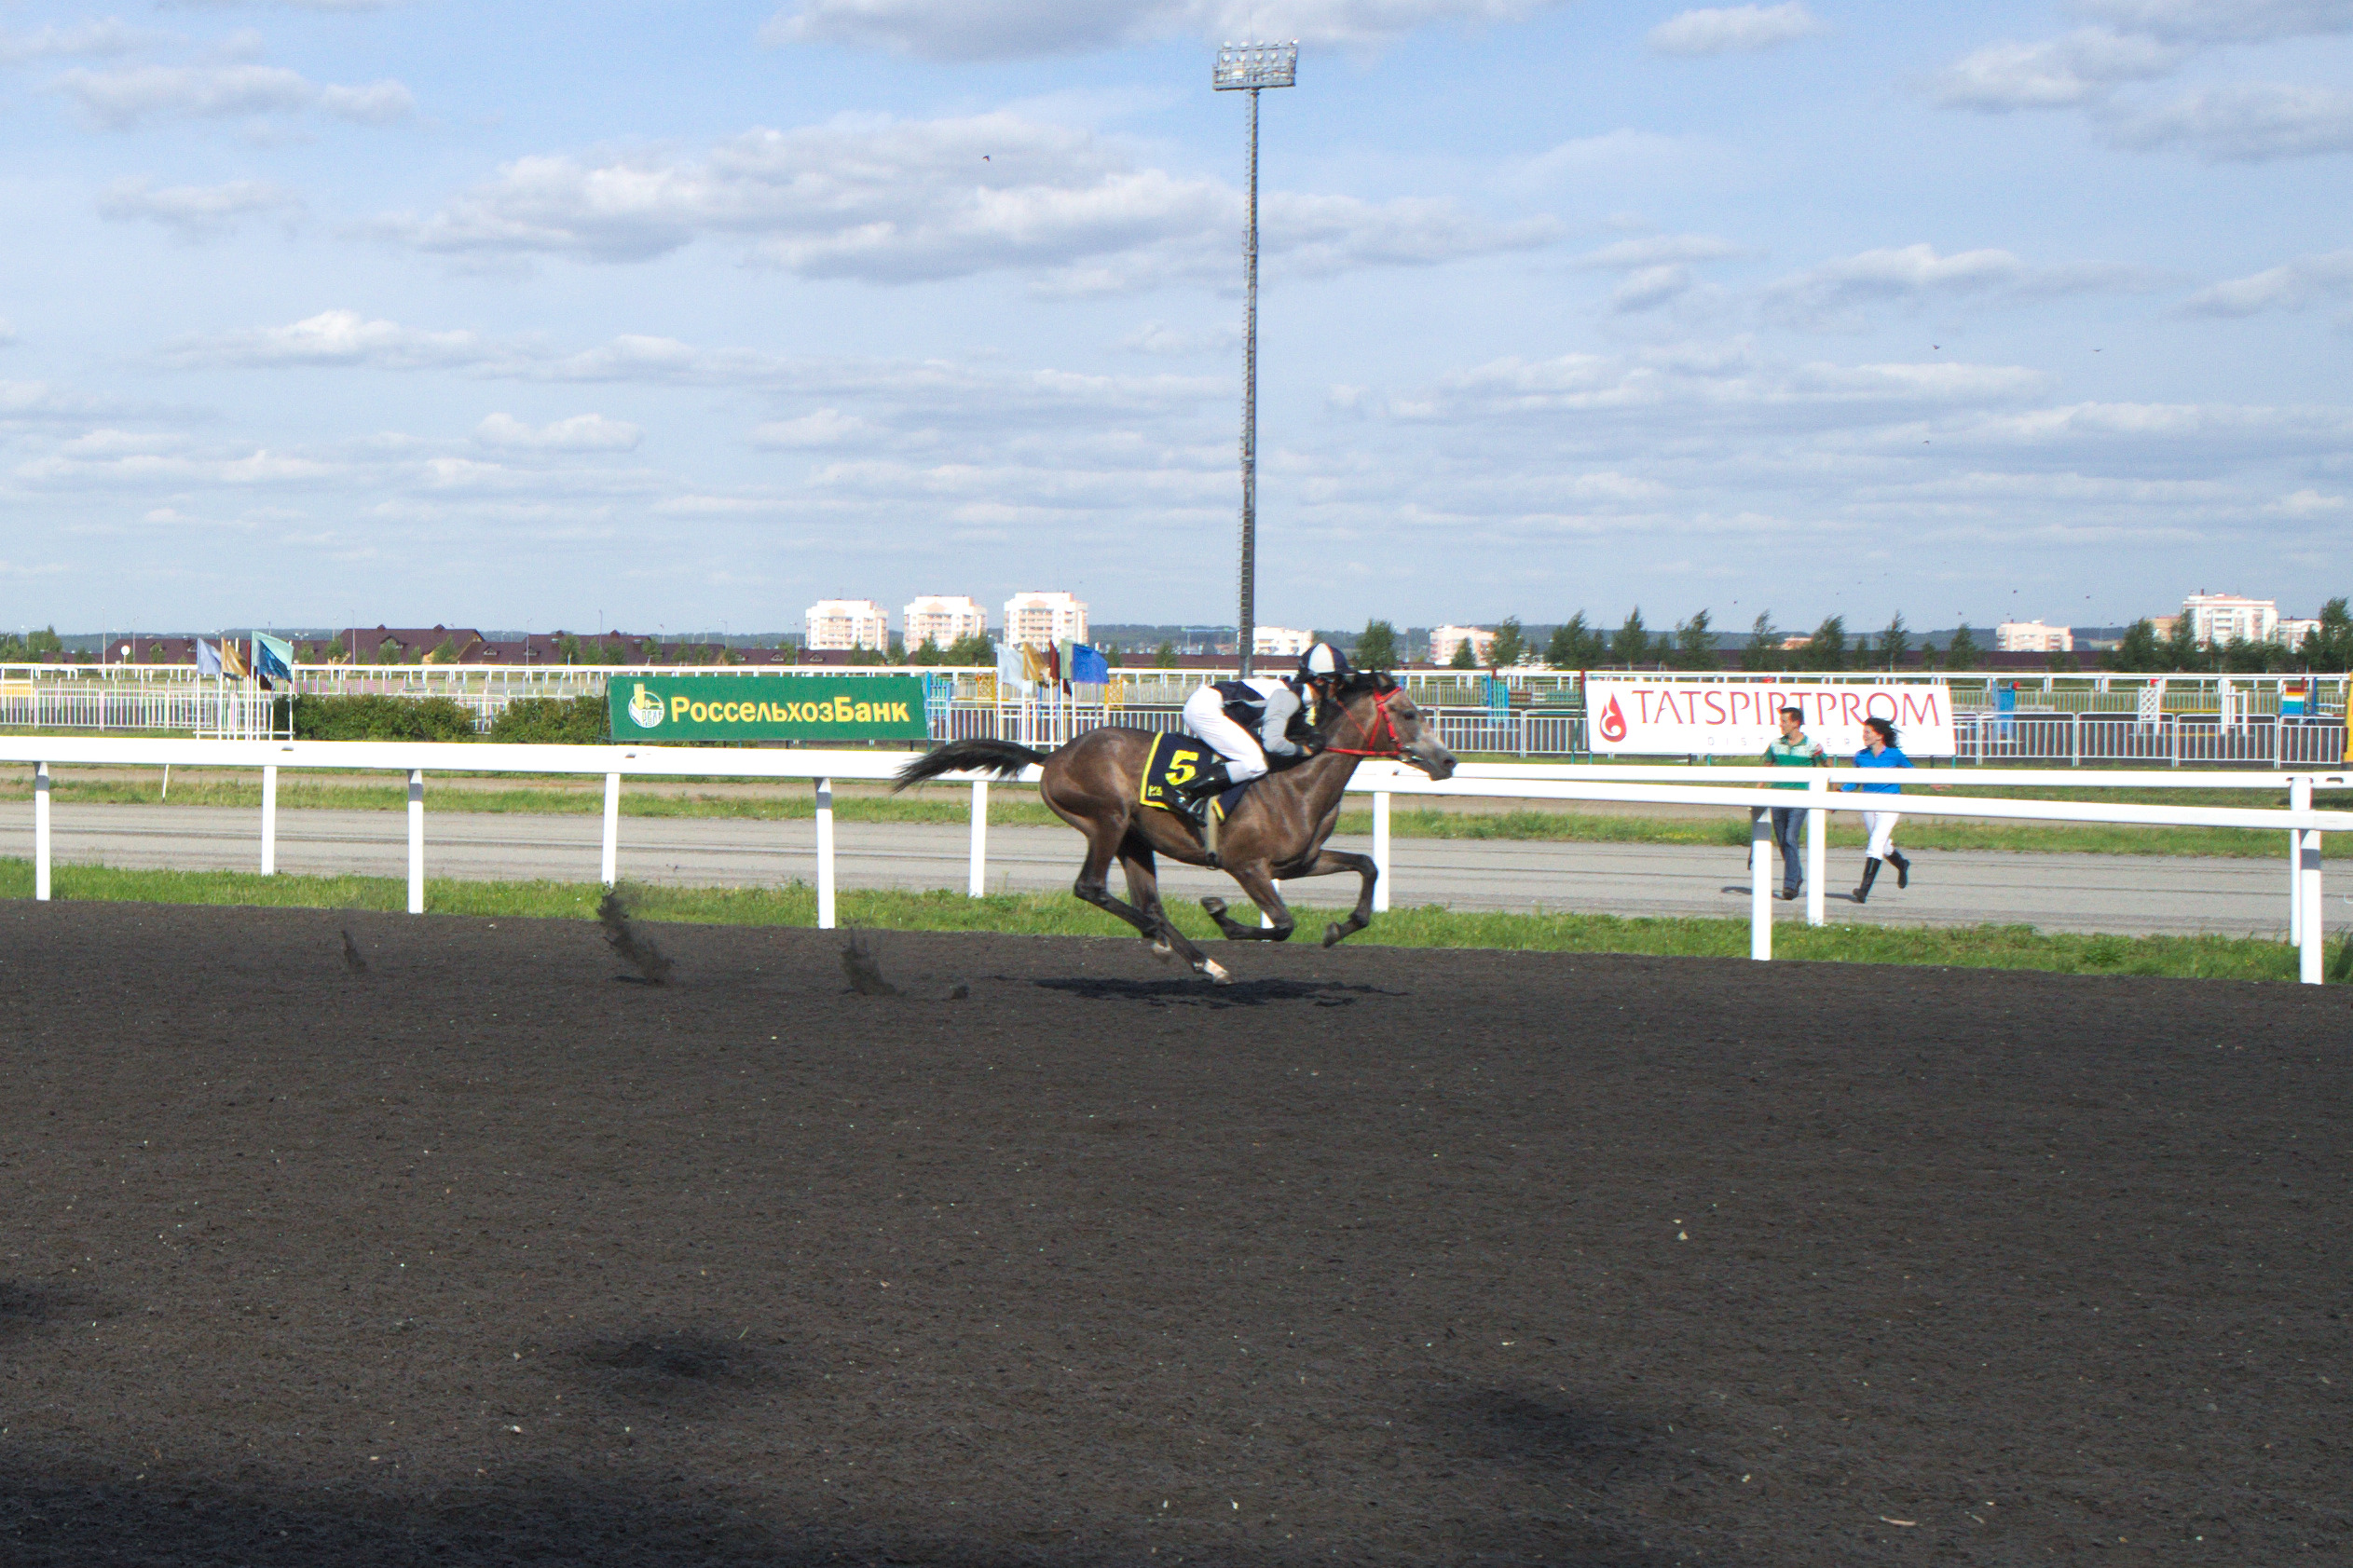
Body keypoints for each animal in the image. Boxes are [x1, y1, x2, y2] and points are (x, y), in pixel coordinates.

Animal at [894, 672, 1449, 982]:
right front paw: (1221, 913)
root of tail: (1053, 755)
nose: (1447, 761)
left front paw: (1341, 928)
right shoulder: (1246, 865)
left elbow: (1368, 865)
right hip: (1107, 819)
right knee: (1091, 888)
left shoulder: (1298, 862)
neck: (1297, 780)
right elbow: (1283, 924)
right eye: (1407, 713)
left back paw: (1198, 959)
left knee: (1148, 902)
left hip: (1135, 840)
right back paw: (1164, 940)